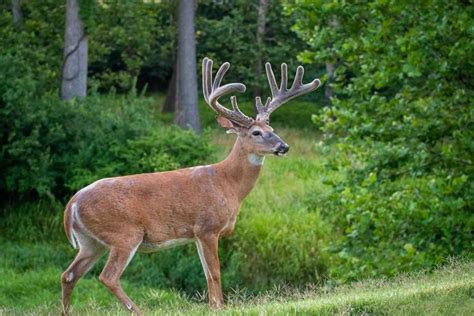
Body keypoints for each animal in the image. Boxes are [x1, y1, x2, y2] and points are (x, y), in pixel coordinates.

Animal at [59, 58, 318, 314]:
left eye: (272, 130)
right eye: (256, 132)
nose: (284, 147)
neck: (228, 185)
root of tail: (72, 204)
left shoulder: (196, 234)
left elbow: (206, 274)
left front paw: (213, 306)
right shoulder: (207, 227)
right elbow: (215, 272)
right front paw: (220, 307)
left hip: (90, 241)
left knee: (69, 275)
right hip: (124, 233)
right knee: (107, 276)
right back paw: (138, 309)